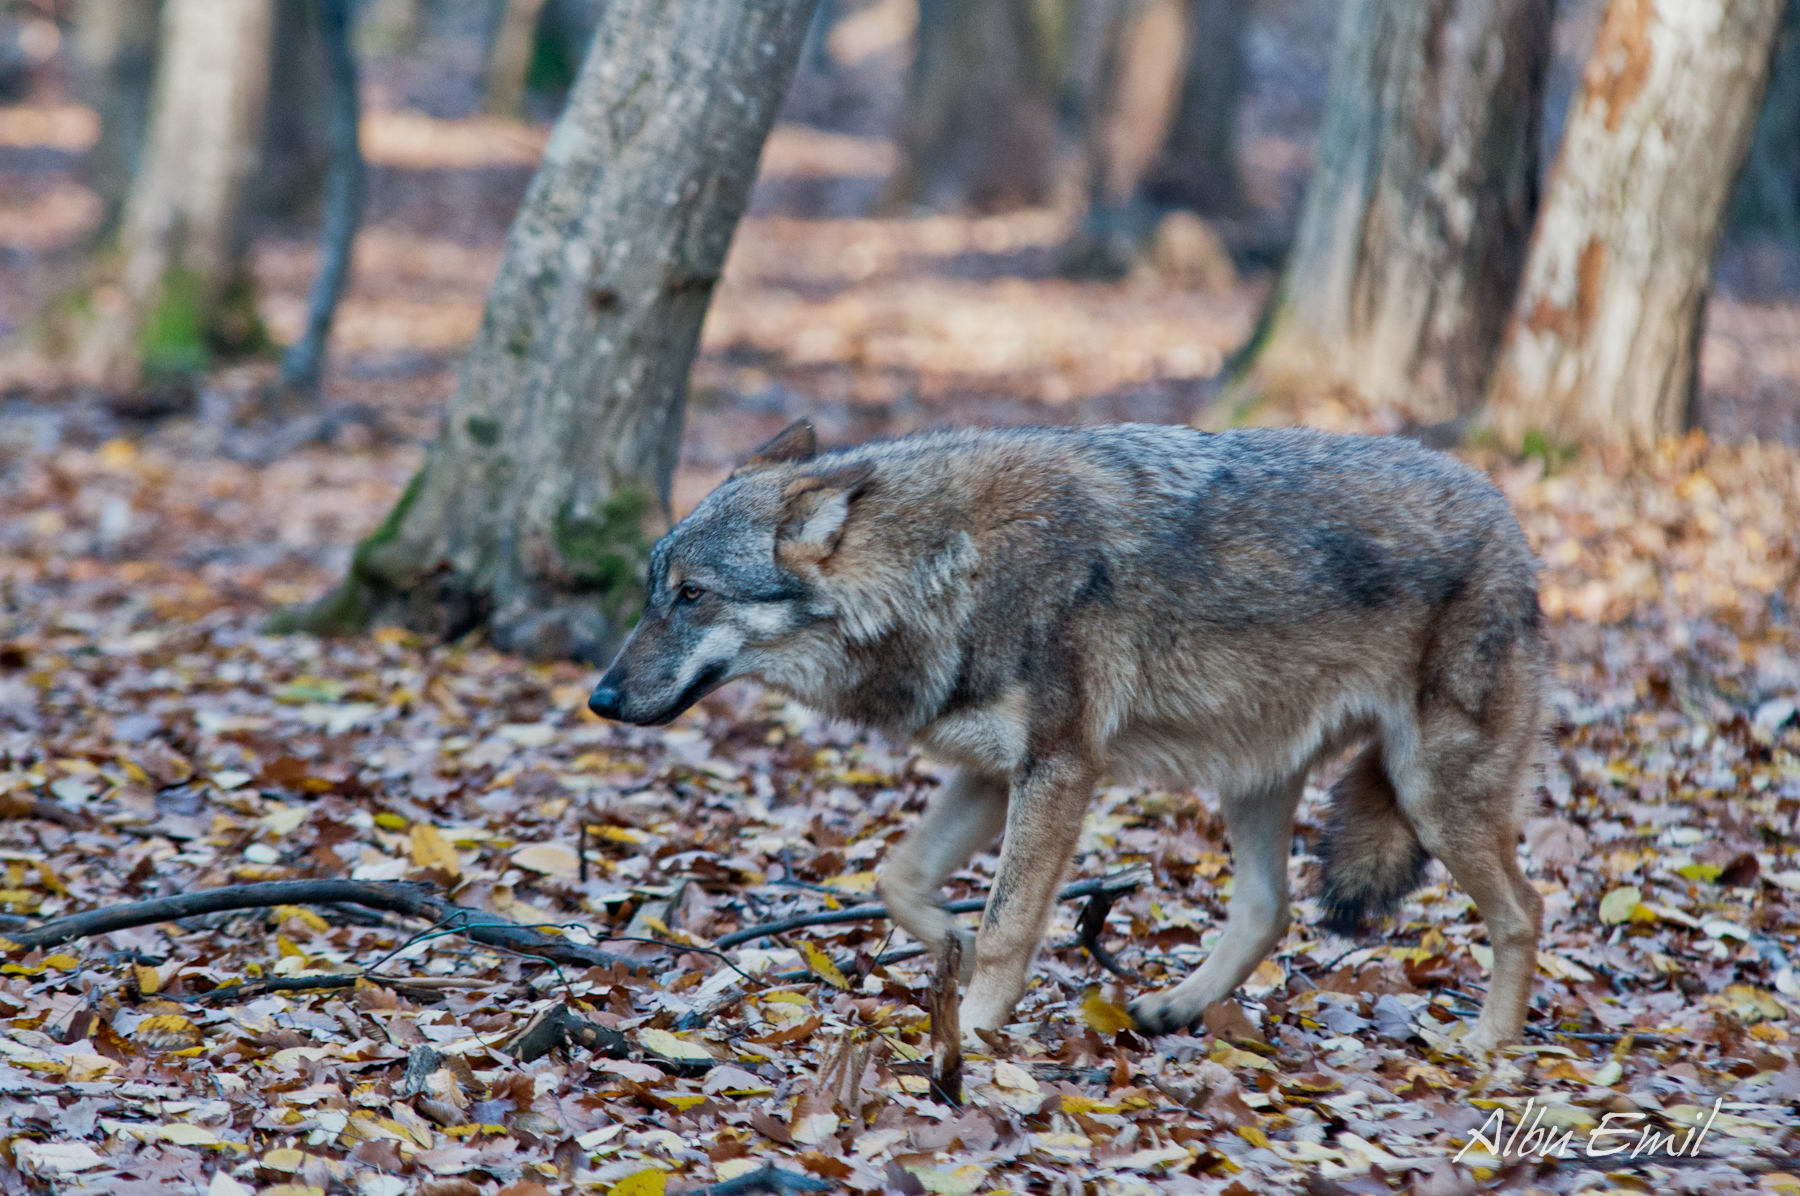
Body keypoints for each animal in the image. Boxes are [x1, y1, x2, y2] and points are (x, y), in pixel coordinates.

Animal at [590, 417, 1548, 1044]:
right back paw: (1176, 1008)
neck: (947, 566)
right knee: (1268, 909)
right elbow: (899, 879)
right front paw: (950, 953)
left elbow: (1011, 922)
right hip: (1254, 780)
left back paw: (1489, 1051)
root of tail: (1513, 521)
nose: (600, 697)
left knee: (1525, 910)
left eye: (692, 595)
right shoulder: (990, 773)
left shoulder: (1058, 769)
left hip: (1431, 794)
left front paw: (973, 1035)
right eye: (651, 591)